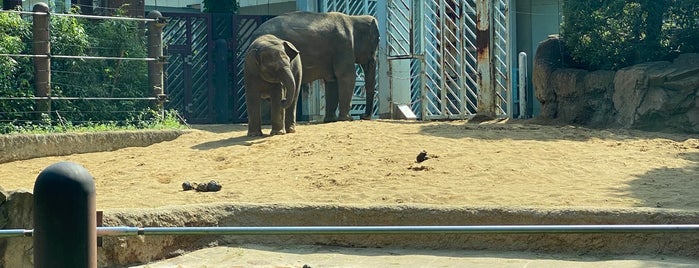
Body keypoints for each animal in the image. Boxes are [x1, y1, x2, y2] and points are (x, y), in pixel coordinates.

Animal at [252, 11, 380, 122]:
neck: (353, 18)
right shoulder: (344, 45)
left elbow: (332, 80)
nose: (364, 116)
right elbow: (347, 76)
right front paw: (347, 119)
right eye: (378, 40)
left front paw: (331, 120)